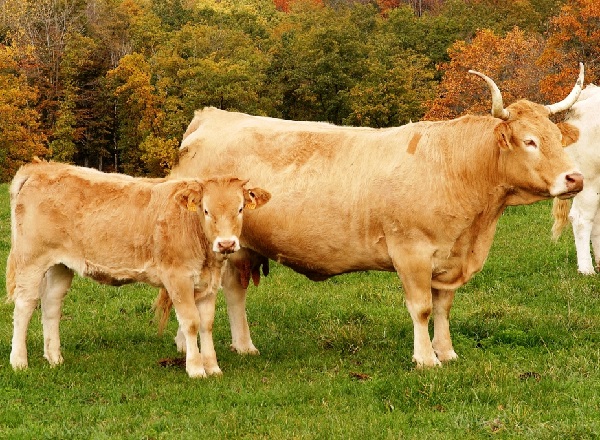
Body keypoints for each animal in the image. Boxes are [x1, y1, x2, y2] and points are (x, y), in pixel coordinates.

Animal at [5, 161, 270, 378]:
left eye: (240, 209)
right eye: (206, 210)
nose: (226, 244)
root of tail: (42, 168)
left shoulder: (209, 283)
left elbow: (207, 324)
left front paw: (213, 367)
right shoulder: (178, 279)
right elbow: (191, 322)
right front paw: (196, 369)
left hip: (60, 265)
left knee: (51, 303)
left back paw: (54, 358)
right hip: (31, 260)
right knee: (25, 305)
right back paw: (19, 361)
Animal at [171, 65, 584, 368]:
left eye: (557, 138)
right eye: (529, 141)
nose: (575, 178)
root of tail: (212, 117)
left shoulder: (449, 258)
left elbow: (443, 307)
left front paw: (447, 352)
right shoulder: (411, 253)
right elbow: (421, 308)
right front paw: (426, 359)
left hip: (240, 248)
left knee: (234, 290)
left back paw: (240, 346)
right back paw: (195, 346)